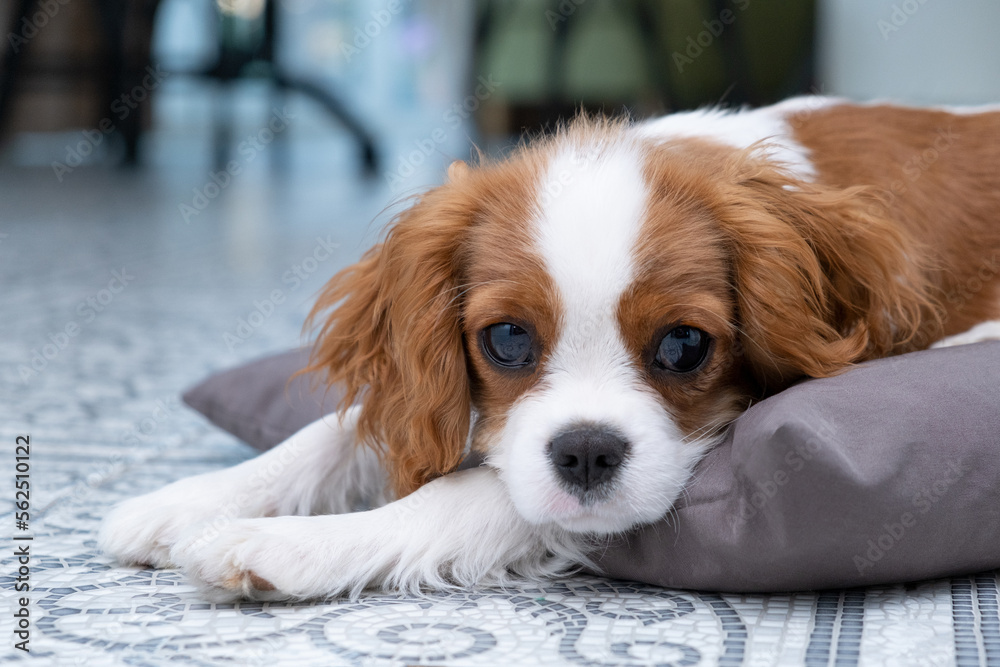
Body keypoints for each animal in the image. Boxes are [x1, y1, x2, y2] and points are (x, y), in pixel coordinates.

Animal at [99, 98, 1000, 600]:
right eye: (507, 338)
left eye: (684, 345)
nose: (587, 454)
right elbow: (344, 427)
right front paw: (196, 499)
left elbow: (467, 494)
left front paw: (281, 545)